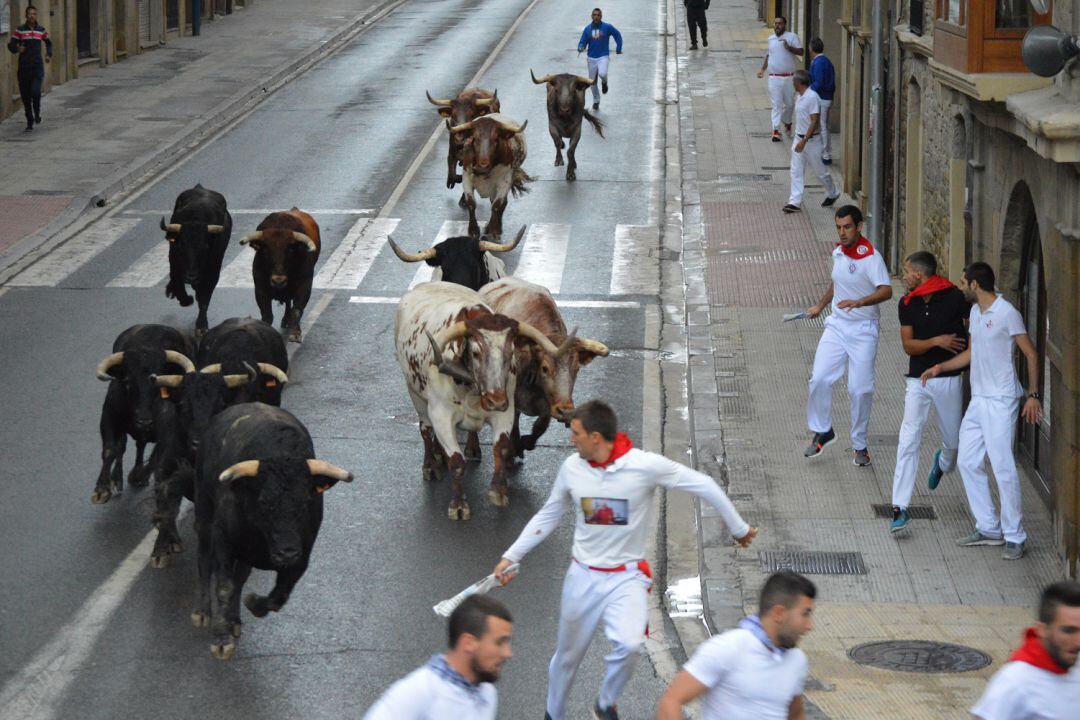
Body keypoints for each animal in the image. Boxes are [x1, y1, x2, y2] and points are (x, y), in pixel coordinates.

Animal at [238, 208, 317, 343]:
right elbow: (267, 314)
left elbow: (297, 309)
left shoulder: (305, 285)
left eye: (290, 250)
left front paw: (296, 333)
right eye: (265, 250)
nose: (278, 281)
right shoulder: (260, 289)